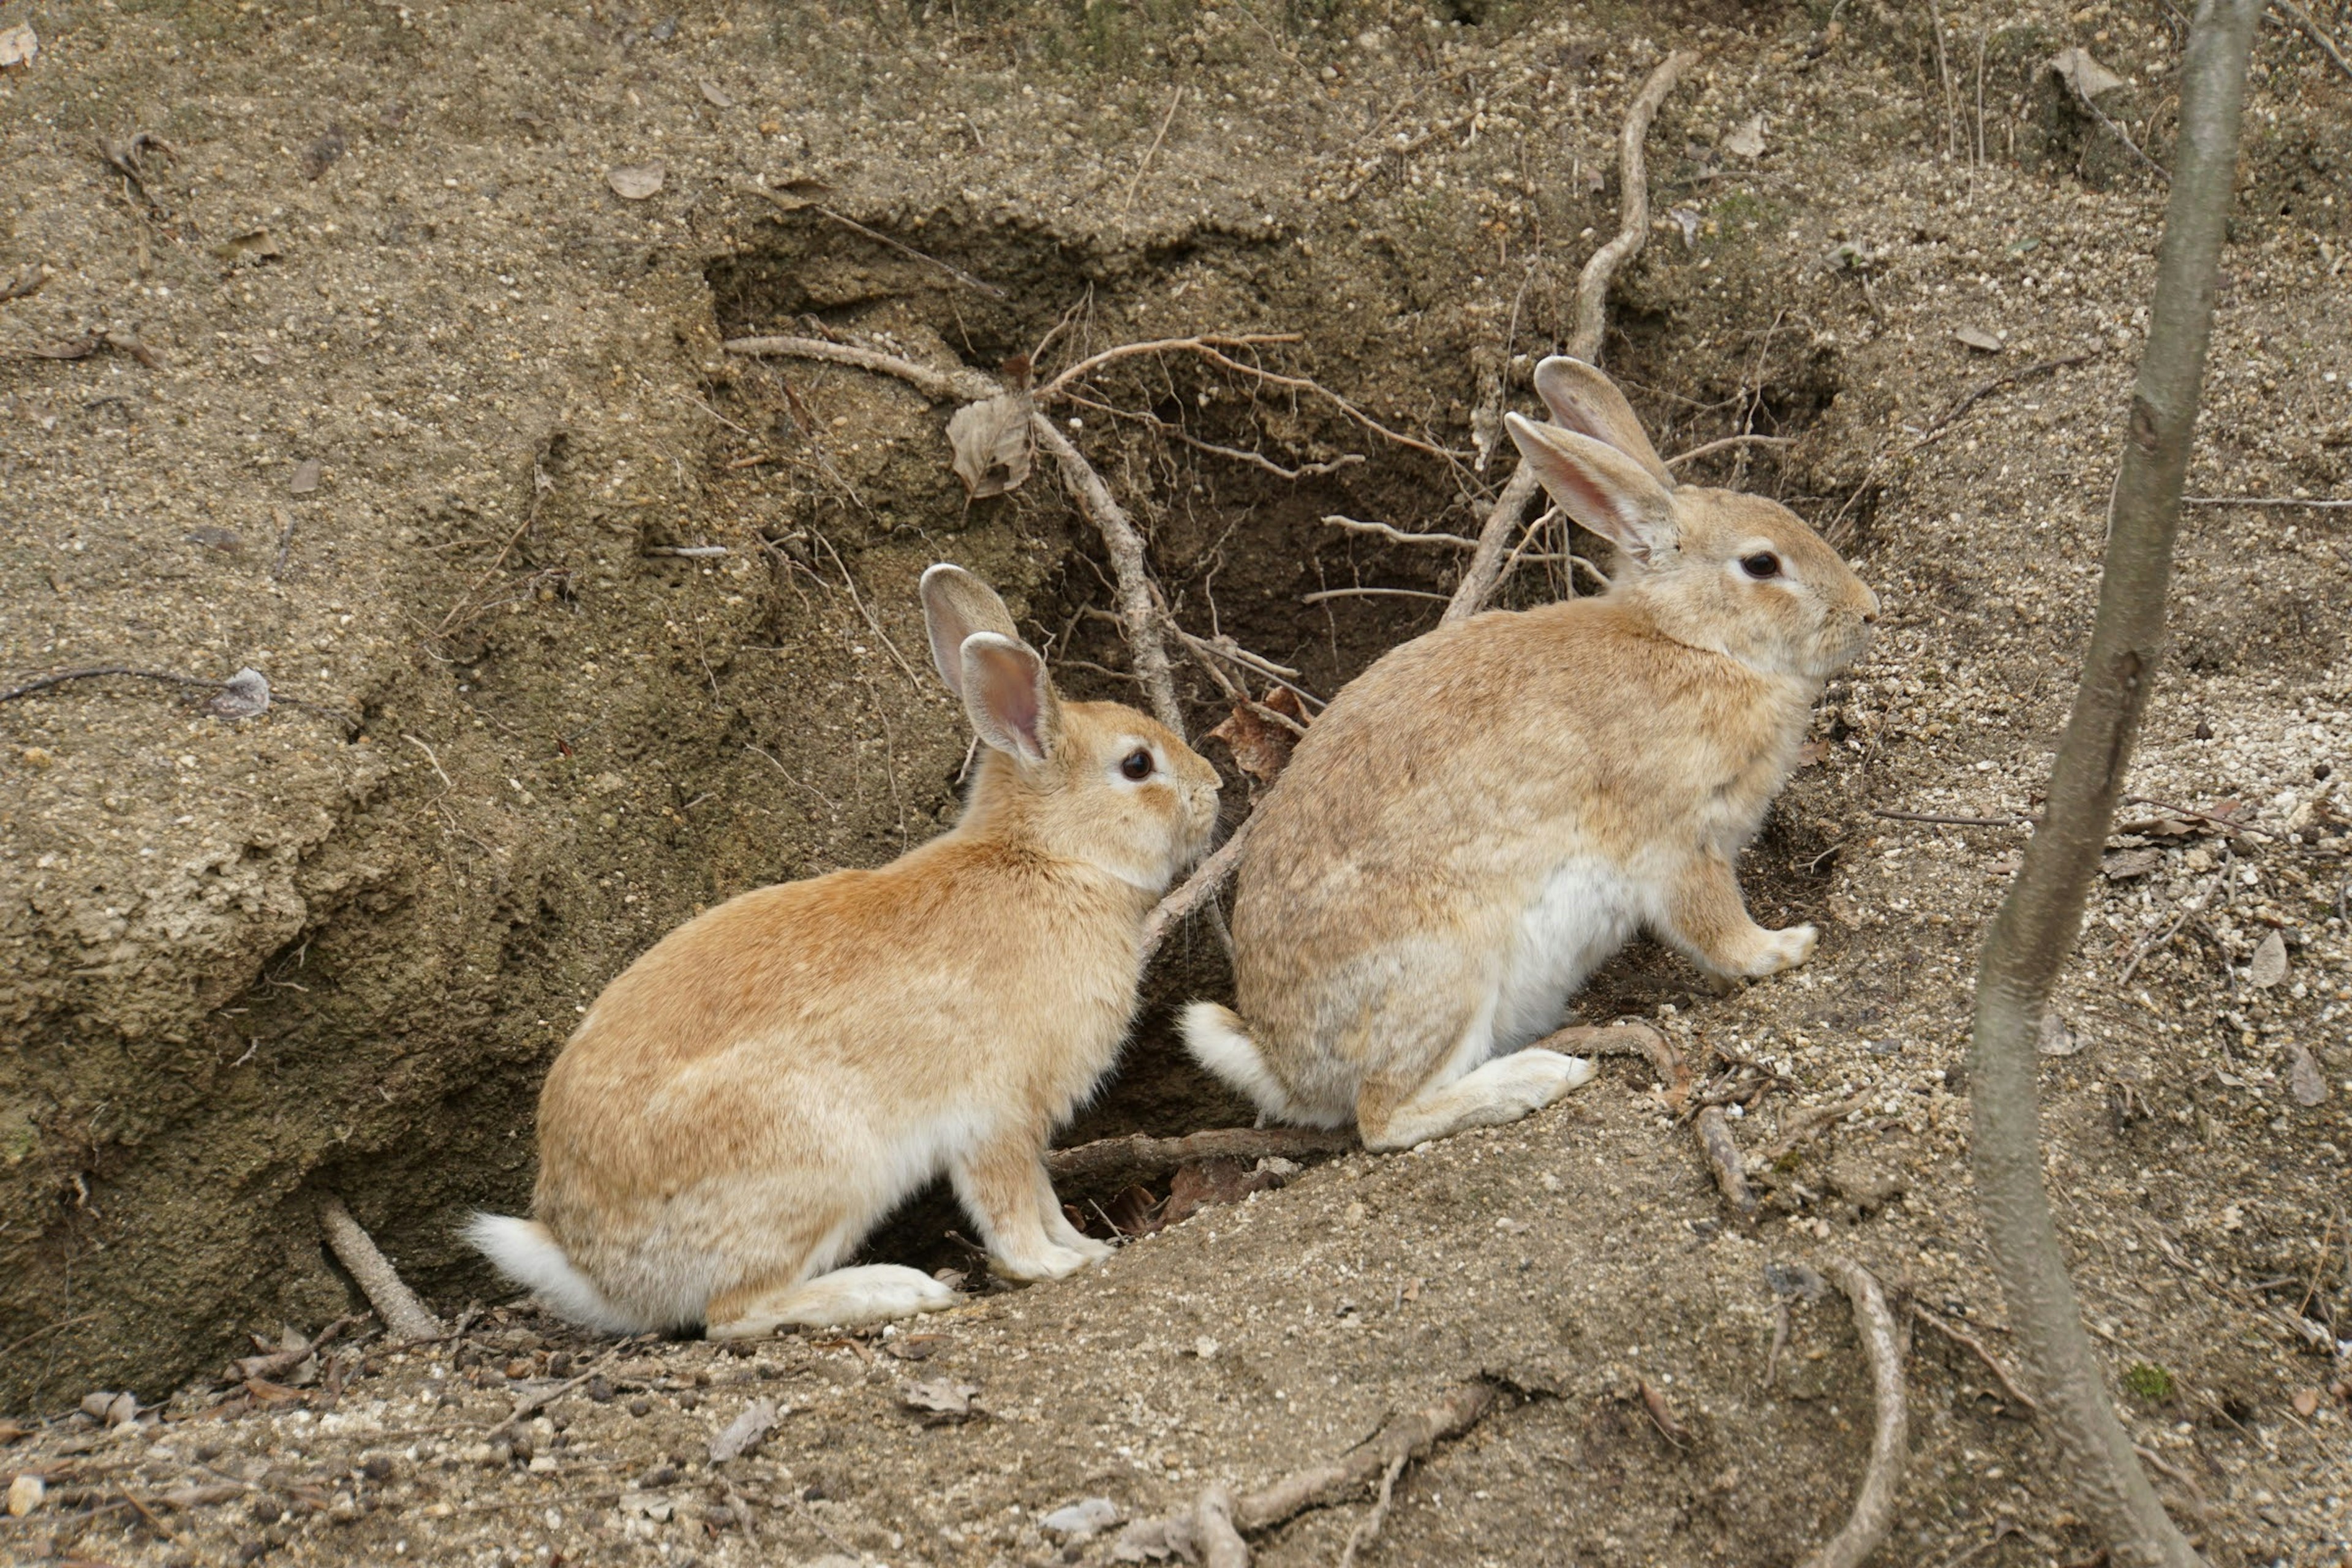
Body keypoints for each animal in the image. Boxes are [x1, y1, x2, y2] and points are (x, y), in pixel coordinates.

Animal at [470, 564, 1223, 1335]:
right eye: (1138, 764)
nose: (1217, 788)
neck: (1051, 857)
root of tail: (594, 1267)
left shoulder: (1028, 1121)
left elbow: (1043, 1194)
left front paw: (1087, 1248)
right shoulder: (999, 1114)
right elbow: (1011, 1201)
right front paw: (1049, 1265)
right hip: (821, 1163)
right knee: (734, 1312)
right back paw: (894, 1290)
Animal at [1185, 364, 1882, 1152]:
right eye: (1762, 564)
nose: (1869, 610)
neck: (1691, 641)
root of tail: (1286, 1067)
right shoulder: (1680, 840)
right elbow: (1713, 923)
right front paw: (1784, 947)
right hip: (1447, 971)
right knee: (1385, 1118)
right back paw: (1538, 1078)